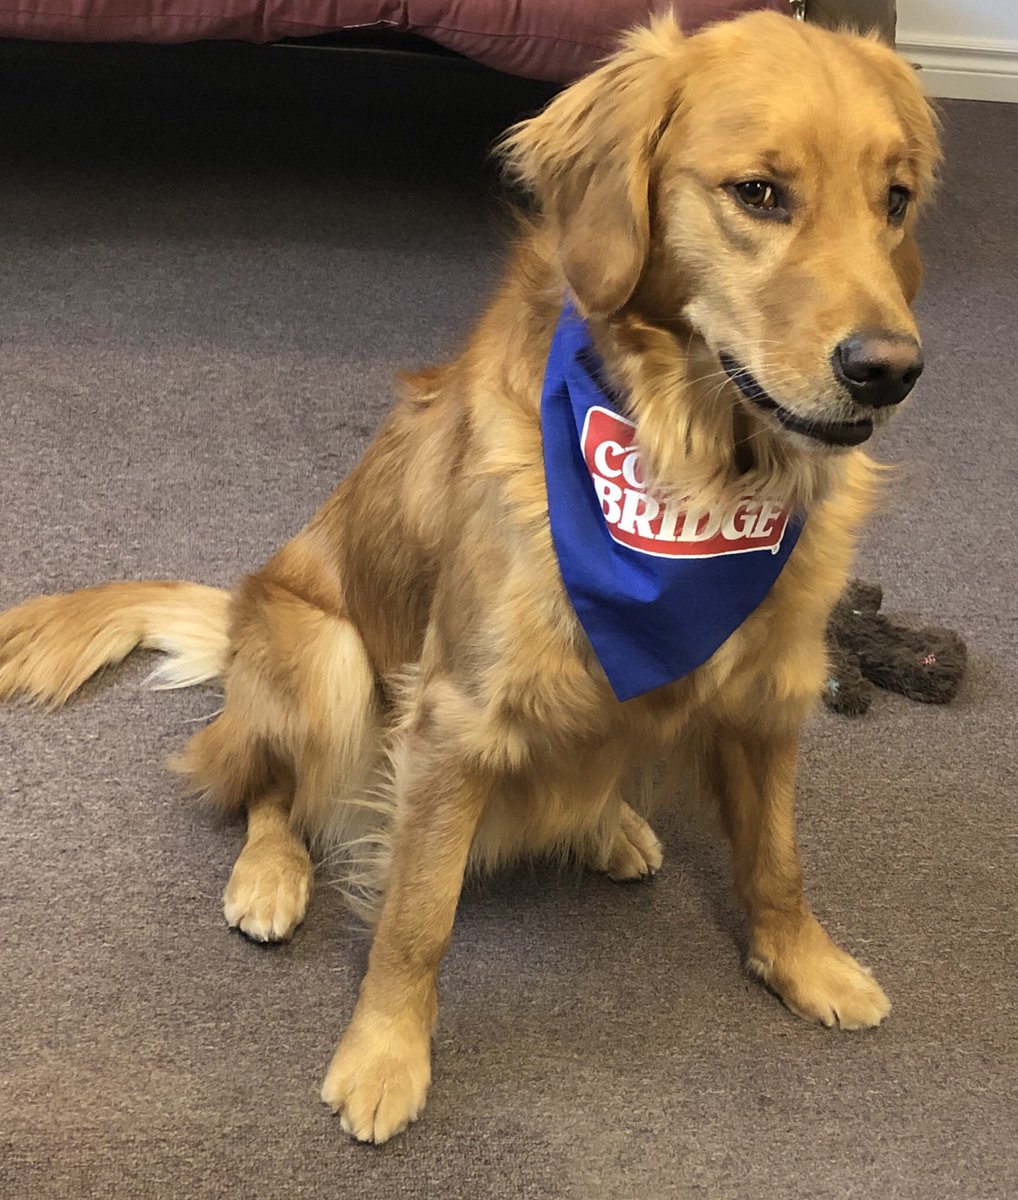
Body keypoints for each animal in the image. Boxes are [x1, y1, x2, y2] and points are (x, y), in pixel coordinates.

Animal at [0, 12, 940, 1143]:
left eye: (896, 200)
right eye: (758, 192)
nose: (890, 371)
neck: (693, 471)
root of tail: (240, 613)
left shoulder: (770, 691)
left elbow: (778, 859)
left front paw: (805, 963)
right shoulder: (452, 714)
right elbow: (417, 917)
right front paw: (383, 1054)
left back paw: (612, 827)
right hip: (323, 655)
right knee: (267, 788)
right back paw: (270, 875)